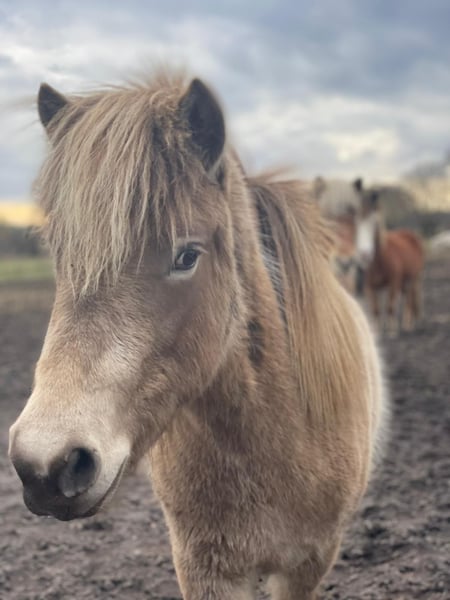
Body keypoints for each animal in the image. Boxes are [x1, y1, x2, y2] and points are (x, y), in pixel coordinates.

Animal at [353, 178, 425, 333]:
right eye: (356, 223)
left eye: (375, 223)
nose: (364, 255)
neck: (379, 262)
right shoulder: (370, 288)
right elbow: (375, 310)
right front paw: (377, 331)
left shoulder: (393, 284)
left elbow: (390, 307)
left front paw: (392, 331)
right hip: (405, 281)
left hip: (413, 279)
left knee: (409, 300)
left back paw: (408, 325)